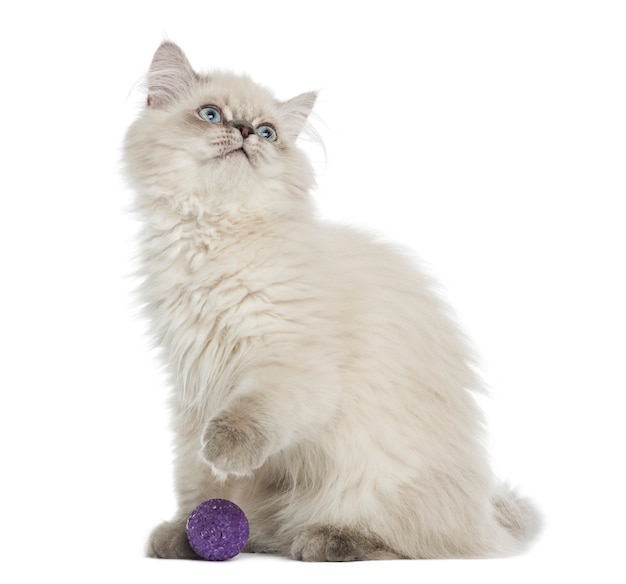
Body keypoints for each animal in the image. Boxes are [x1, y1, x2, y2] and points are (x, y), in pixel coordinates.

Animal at [124, 41, 540, 560]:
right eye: (211, 114)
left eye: (267, 132)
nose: (244, 132)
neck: (214, 238)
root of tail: (486, 517)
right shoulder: (194, 386)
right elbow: (202, 482)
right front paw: (193, 530)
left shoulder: (289, 365)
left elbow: (243, 421)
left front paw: (223, 454)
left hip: (369, 475)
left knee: (407, 541)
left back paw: (329, 540)